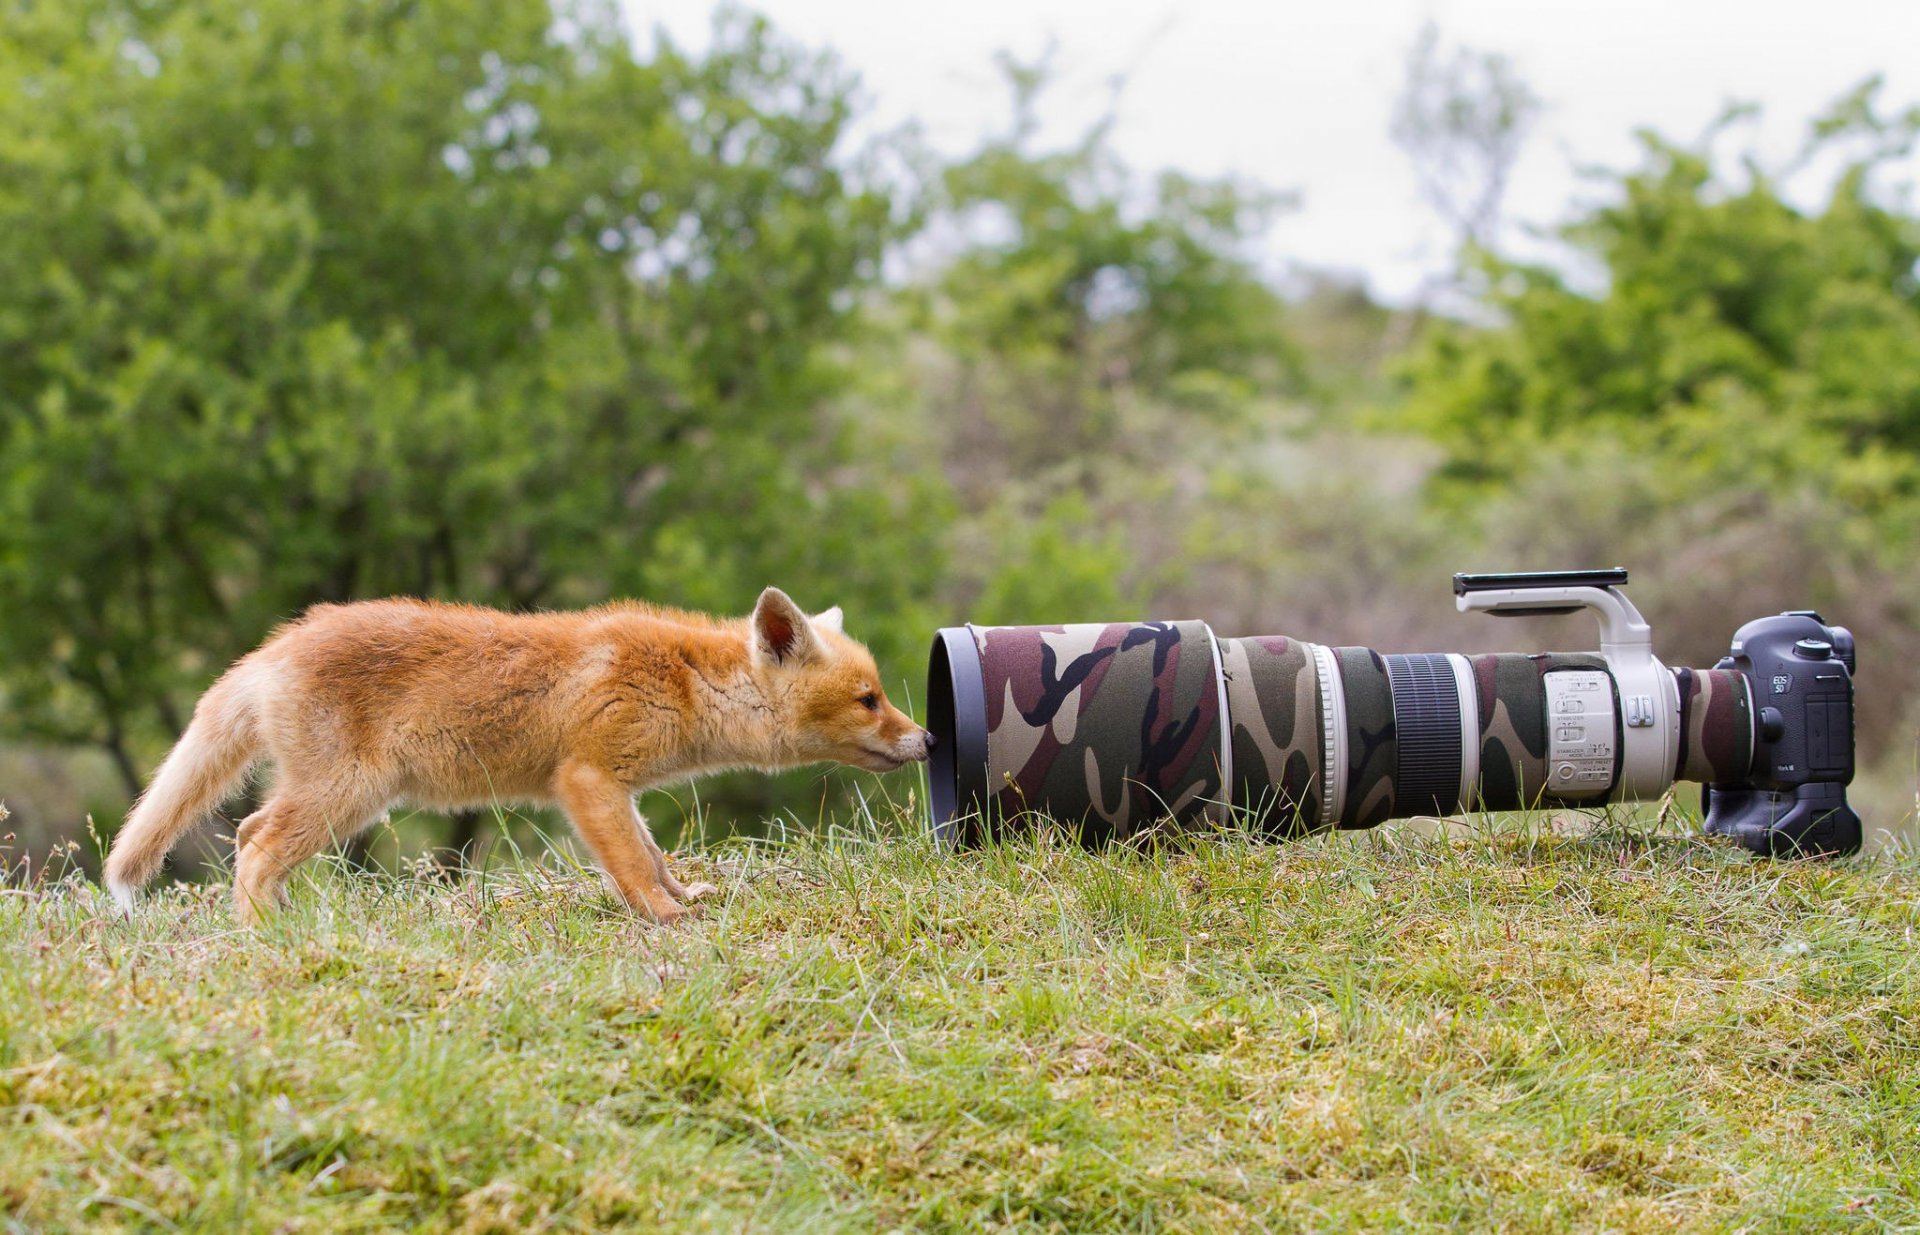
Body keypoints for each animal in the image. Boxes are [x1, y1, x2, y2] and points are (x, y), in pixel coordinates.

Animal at [103, 586, 933, 925]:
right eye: (869, 698)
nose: (926, 739)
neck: (684, 682)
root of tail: (275, 645)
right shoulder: (587, 779)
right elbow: (633, 868)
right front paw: (666, 916)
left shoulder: (619, 791)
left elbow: (653, 852)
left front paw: (686, 894)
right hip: (347, 794)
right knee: (254, 843)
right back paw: (262, 935)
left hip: (335, 797)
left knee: (248, 834)